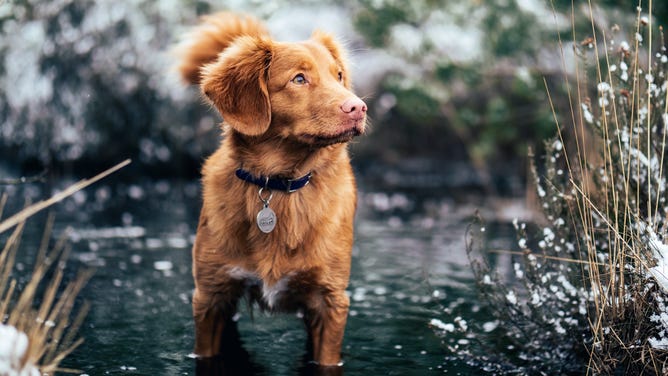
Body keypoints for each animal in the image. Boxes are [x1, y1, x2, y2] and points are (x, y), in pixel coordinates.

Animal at [175, 12, 368, 368]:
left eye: (338, 75)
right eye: (299, 79)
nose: (359, 108)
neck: (278, 185)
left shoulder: (330, 301)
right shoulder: (211, 296)